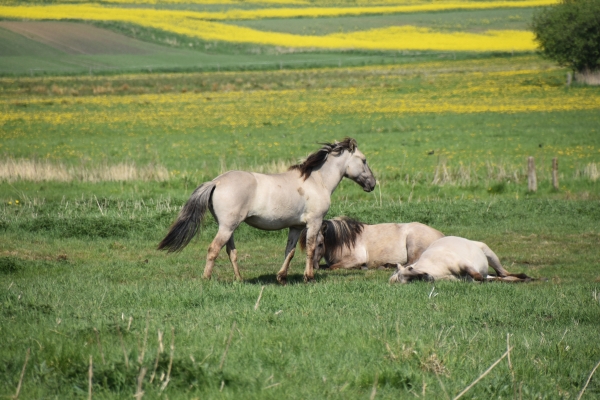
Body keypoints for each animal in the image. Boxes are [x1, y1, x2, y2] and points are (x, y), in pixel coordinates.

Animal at [159, 139, 376, 282]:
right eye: (364, 160)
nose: (372, 184)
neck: (316, 181)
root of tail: (216, 182)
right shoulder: (314, 222)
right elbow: (310, 248)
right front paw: (309, 277)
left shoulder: (296, 227)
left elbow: (289, 251)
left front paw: (281, 277)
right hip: (227, 227)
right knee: (213, 249)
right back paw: (206, 278)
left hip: (229, 228)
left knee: (231, 251)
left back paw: (239, 279)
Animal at [302, 217, 442, 270]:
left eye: (320, 244)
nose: (313, 266)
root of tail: (441, 236)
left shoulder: (356, 258)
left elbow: (332, 267)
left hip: (413, 244)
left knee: (411, 263)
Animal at [390, 236, 536, 282]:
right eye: (409, 281)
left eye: (410, 268)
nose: (426, 276)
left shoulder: (463, 264)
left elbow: (477, 276)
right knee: (502, 276)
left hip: (489, 254)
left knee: (503, 273)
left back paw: (527, 277)